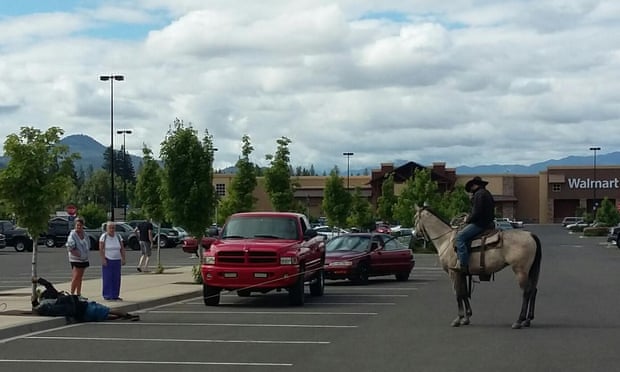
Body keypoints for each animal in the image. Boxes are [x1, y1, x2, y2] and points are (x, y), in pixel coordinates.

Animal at [416, 205, 544, 330]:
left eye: (415, 218)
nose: (415, 234)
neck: (446, 240)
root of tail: (530, 235)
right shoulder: (462, 273)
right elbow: (464, 293)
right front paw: (466, 318)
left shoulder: (454, 273)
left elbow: (458, 294)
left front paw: (458, 319)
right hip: (530, 271)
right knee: (533, 290)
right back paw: (527, 320)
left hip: (520, 271)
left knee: (526, 292)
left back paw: (519, 321)